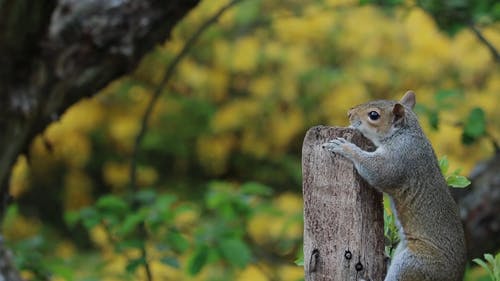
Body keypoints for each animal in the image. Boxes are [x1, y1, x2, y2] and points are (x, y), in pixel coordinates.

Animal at [322, 91, 466, 278]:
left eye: (374, 115)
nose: (349, 113)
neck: (404, 133)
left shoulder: (399, 159)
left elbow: (377, 172)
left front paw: (346, 147)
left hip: (413, 265)